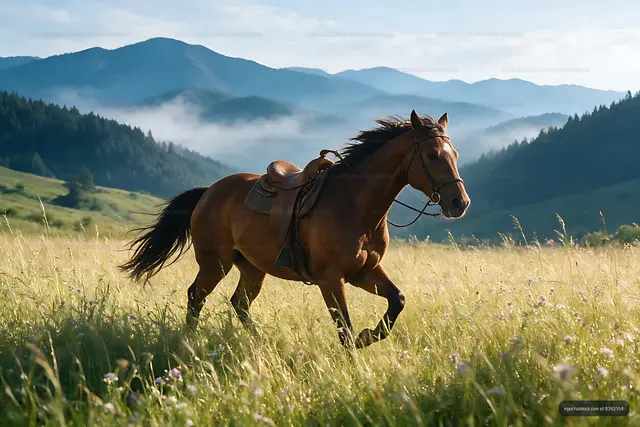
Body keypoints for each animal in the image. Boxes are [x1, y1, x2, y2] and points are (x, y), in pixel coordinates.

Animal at [119, 110, 470, 348]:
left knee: (239, 303)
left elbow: (397, 300)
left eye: (455, 154)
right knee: (196, 296)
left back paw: (259, 342)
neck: (355, 204)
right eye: (433, 155)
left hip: (252, 268)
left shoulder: (364, 272)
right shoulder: (331, 279)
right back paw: (189, 342)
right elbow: (344, 328)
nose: (459, 202)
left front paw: (369, 336)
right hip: (214, 263)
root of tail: (208, 192)